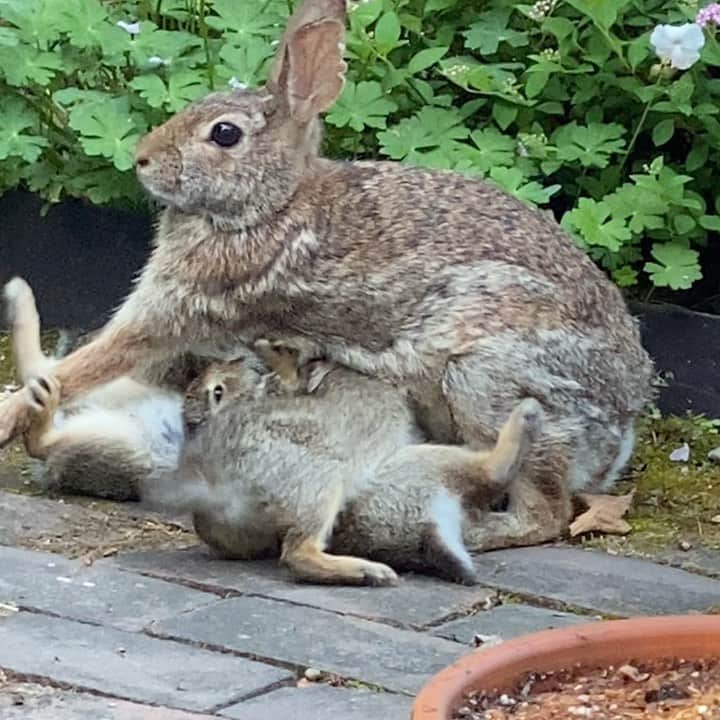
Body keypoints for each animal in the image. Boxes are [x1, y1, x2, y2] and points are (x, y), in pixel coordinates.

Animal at [0, 0, 652, 552]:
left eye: (225, 134)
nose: (141, 159)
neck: (272, 204)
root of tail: (618, 431)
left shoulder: (183, 304)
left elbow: (90, 363)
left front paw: (8, 412)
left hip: (486, 381)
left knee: (545, 511)